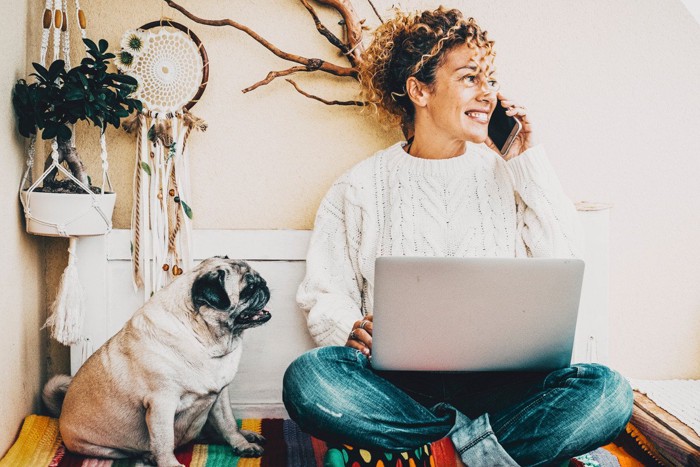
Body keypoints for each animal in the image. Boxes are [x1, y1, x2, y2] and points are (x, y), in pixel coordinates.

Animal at [41, 258, 270, 466]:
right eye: (249, 288)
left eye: (258, 280)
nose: (264, 284)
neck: (206, 342)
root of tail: (60, 413)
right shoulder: (162, 403)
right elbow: (164, 440)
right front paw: (169, 463)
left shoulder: (220, 396)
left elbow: (229, 425)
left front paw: (241, 444)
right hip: (99, 447)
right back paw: (148, 456)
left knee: (213, 432)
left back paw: (246, 435)